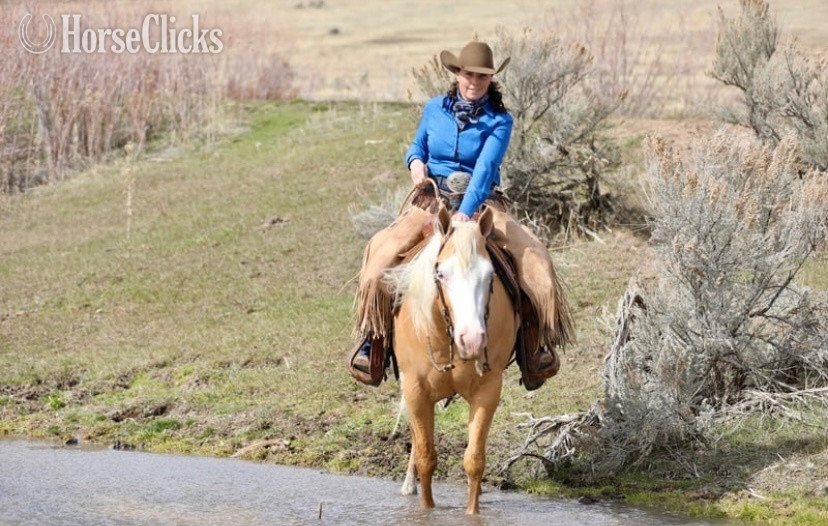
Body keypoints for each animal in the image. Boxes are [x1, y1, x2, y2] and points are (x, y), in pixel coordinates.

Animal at [384, 205, 519, 515]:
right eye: (442, 274)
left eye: (490, 275)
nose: (472, 339)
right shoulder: (416, 390)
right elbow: (426, 458)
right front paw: (426, 509)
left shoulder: (488, 391)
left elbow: (474, 461)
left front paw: (472, 513)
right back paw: (408, 485)